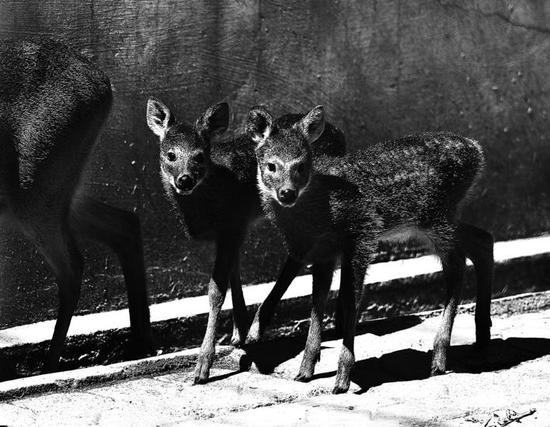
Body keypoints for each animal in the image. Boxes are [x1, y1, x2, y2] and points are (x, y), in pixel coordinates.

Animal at [1, 40, 153, 374]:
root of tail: (102, 85)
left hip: (35, 185)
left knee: (72, 267)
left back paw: (49, 365)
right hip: (61, 187)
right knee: (125, 223)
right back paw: (140, 344)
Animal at [147, 99, 344, 384]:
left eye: (199, 155)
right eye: (170, 154)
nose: (184, 179)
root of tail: (339, 132)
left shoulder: (232, 225)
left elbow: (215, 290)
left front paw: (202, 366)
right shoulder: (233, 230)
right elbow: (233, 275)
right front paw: (237, 333)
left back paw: (262, 329)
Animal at [249, 105, 496, 392]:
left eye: (301, 165)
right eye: (271, 165)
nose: (287, 193)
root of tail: (476, 151)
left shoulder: (362, 231)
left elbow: (350, 299)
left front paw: (342, 377)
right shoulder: (321, 250)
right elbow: (317, 301)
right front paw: (306, 369)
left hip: (437, 217)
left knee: (457, 264)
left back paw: (440, 357)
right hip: (438, 219)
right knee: (482, 240)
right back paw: (479, 340)